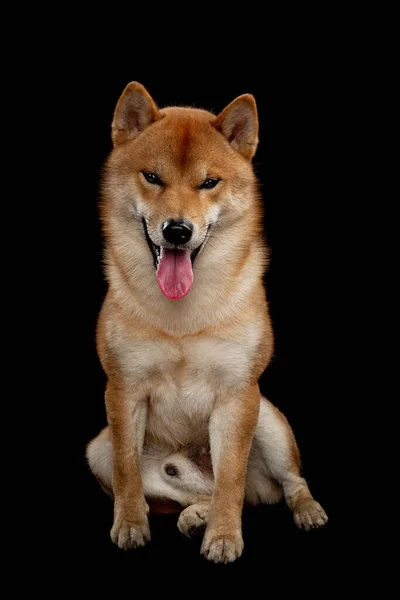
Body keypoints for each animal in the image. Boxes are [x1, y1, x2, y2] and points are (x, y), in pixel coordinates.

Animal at [86, 82, 326, 564]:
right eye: (152, 177)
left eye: (208, 183)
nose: (177, 230)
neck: (183, 316)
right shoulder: (122, 391)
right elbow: (126, 472)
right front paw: (130, 524)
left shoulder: (238, 394)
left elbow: (230, 478)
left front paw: (224, 537)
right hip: (97, 448)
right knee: (198, 490)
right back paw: (193, 515)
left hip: (269, 419)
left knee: (279, 483)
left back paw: (303, 510)